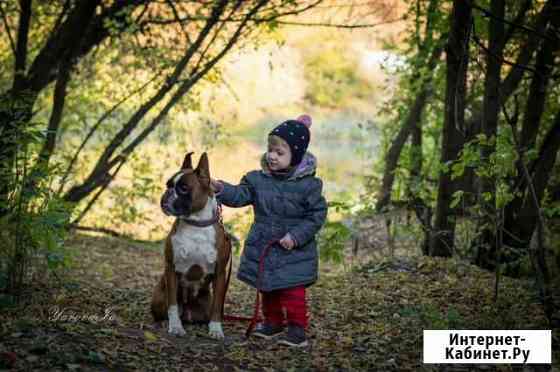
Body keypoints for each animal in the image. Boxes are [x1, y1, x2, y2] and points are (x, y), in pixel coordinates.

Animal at [150, 152, 231, 340]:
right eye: (168, 185)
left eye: (184, 188)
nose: (167, 192)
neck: (196, 224)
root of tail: (188, 312)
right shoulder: (171, 269)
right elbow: (172, 304)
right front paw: (175, 327)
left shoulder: (220, 274)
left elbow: (217, 306)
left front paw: (216, 329)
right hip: (159, 297)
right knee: (164, 311)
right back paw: (165, 322)